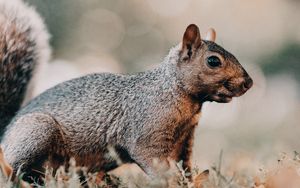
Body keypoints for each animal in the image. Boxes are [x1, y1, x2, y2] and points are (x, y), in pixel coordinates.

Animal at [0, 0, 253, 183]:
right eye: (213, 61)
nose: (248, 83)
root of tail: (5, 132)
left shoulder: (185, 141)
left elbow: (185, 165)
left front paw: (190, 181)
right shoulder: (146, 133)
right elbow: (152, 160)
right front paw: (169, 181)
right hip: (37, 131)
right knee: (14, 167)